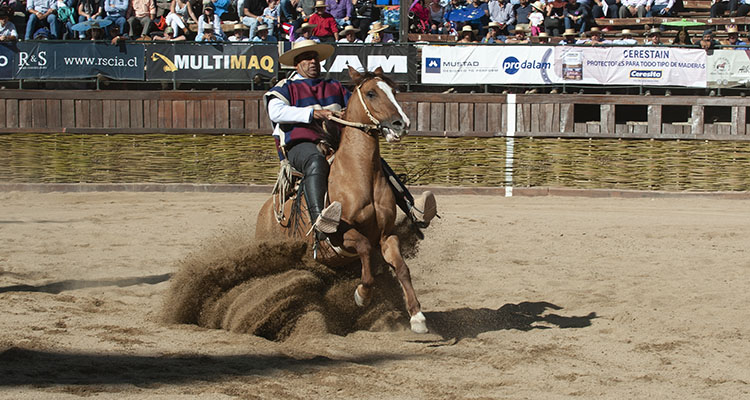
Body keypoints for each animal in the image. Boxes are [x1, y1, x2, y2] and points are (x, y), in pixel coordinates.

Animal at [256, 66, 428, 334]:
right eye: (371, 93)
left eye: (394, 90)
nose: (401, 124)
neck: (359, 175)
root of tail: (265, 214)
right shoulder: (340, 236)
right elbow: (365, 248)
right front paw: (362, 294)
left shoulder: (386, 236)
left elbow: (401, 268)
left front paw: (417, 316)